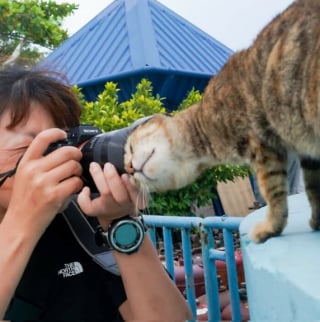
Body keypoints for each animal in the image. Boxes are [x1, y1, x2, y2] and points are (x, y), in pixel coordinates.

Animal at [124, 0, 320, 243]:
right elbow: (313, 186)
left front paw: (271, 227)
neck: (204, 125)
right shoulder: (305, 154)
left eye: (131, 148)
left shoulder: (263, 146)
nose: (130, 169)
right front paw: (317, 219)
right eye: (130, 179)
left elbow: (274, 193)